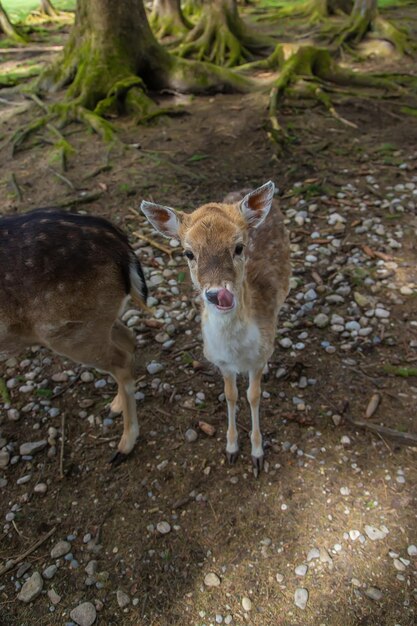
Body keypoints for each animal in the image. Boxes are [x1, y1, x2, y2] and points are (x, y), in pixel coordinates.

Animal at [0, 210, 149, 464]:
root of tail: (120, 243)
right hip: (93, 321)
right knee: (128, 340)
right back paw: (116, 404)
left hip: (68, 331)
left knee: (121, 359)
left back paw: (124, 444)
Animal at [141, 178, 290, 470]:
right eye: (188, 252)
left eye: (239, 246)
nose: (217, 294)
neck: (238, 352)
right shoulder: (220, 361)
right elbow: (230, 395)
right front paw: (231, 448)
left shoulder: (257, 357)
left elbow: (253, 395)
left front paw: (257, 454)